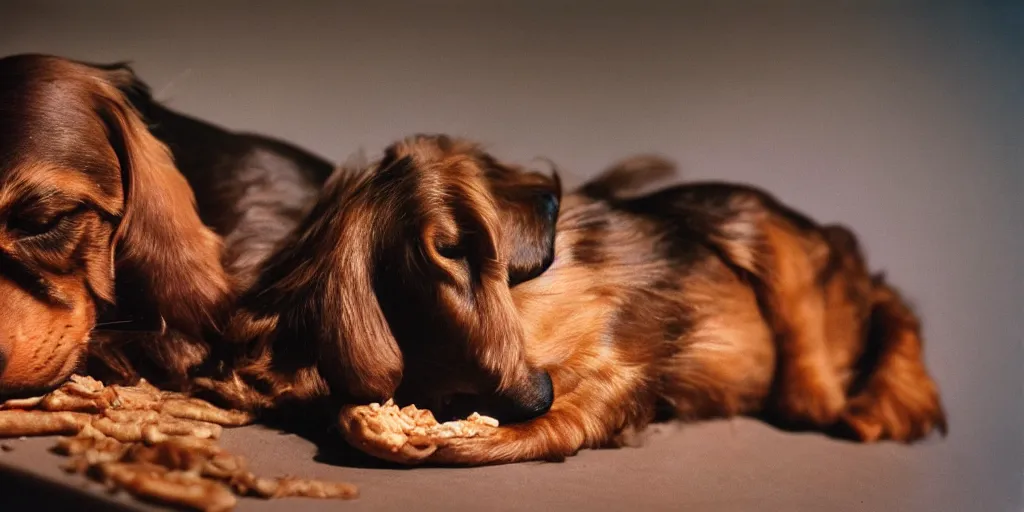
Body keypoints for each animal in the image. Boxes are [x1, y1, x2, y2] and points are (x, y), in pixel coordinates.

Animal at [197, 135, 942, 464]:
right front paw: (404, 432)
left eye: (454, 250)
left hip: (755, 223)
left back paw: (880, 401)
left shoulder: (623, 368)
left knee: (872, 316)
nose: (534, 392)